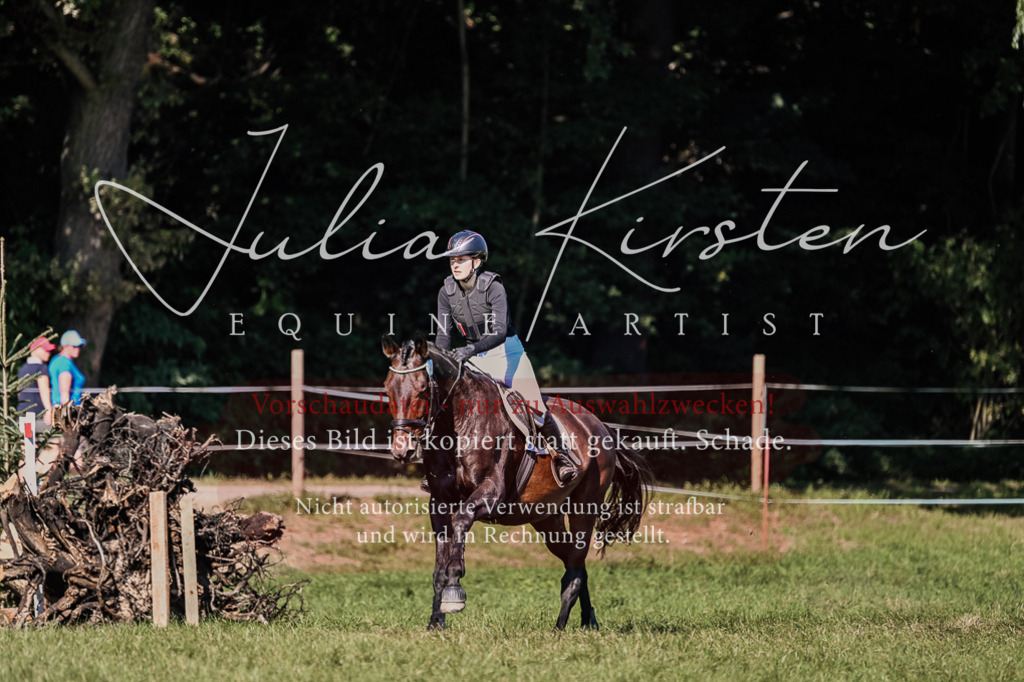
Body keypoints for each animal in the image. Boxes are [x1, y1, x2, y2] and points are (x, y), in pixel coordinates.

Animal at [382, 334, 652, 630]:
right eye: (388, 389)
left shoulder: (492, 493)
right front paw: (435, 623)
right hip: (546, 517)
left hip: (584, 507)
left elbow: (462, 520)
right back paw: (588, 620)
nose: (402, 450)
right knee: (574, 560)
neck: (457, 425)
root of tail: (600, 426)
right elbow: (439, 564)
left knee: (575, 568)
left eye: (422, 391)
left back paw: (559, 628)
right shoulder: (440, 501)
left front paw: (455, 590)